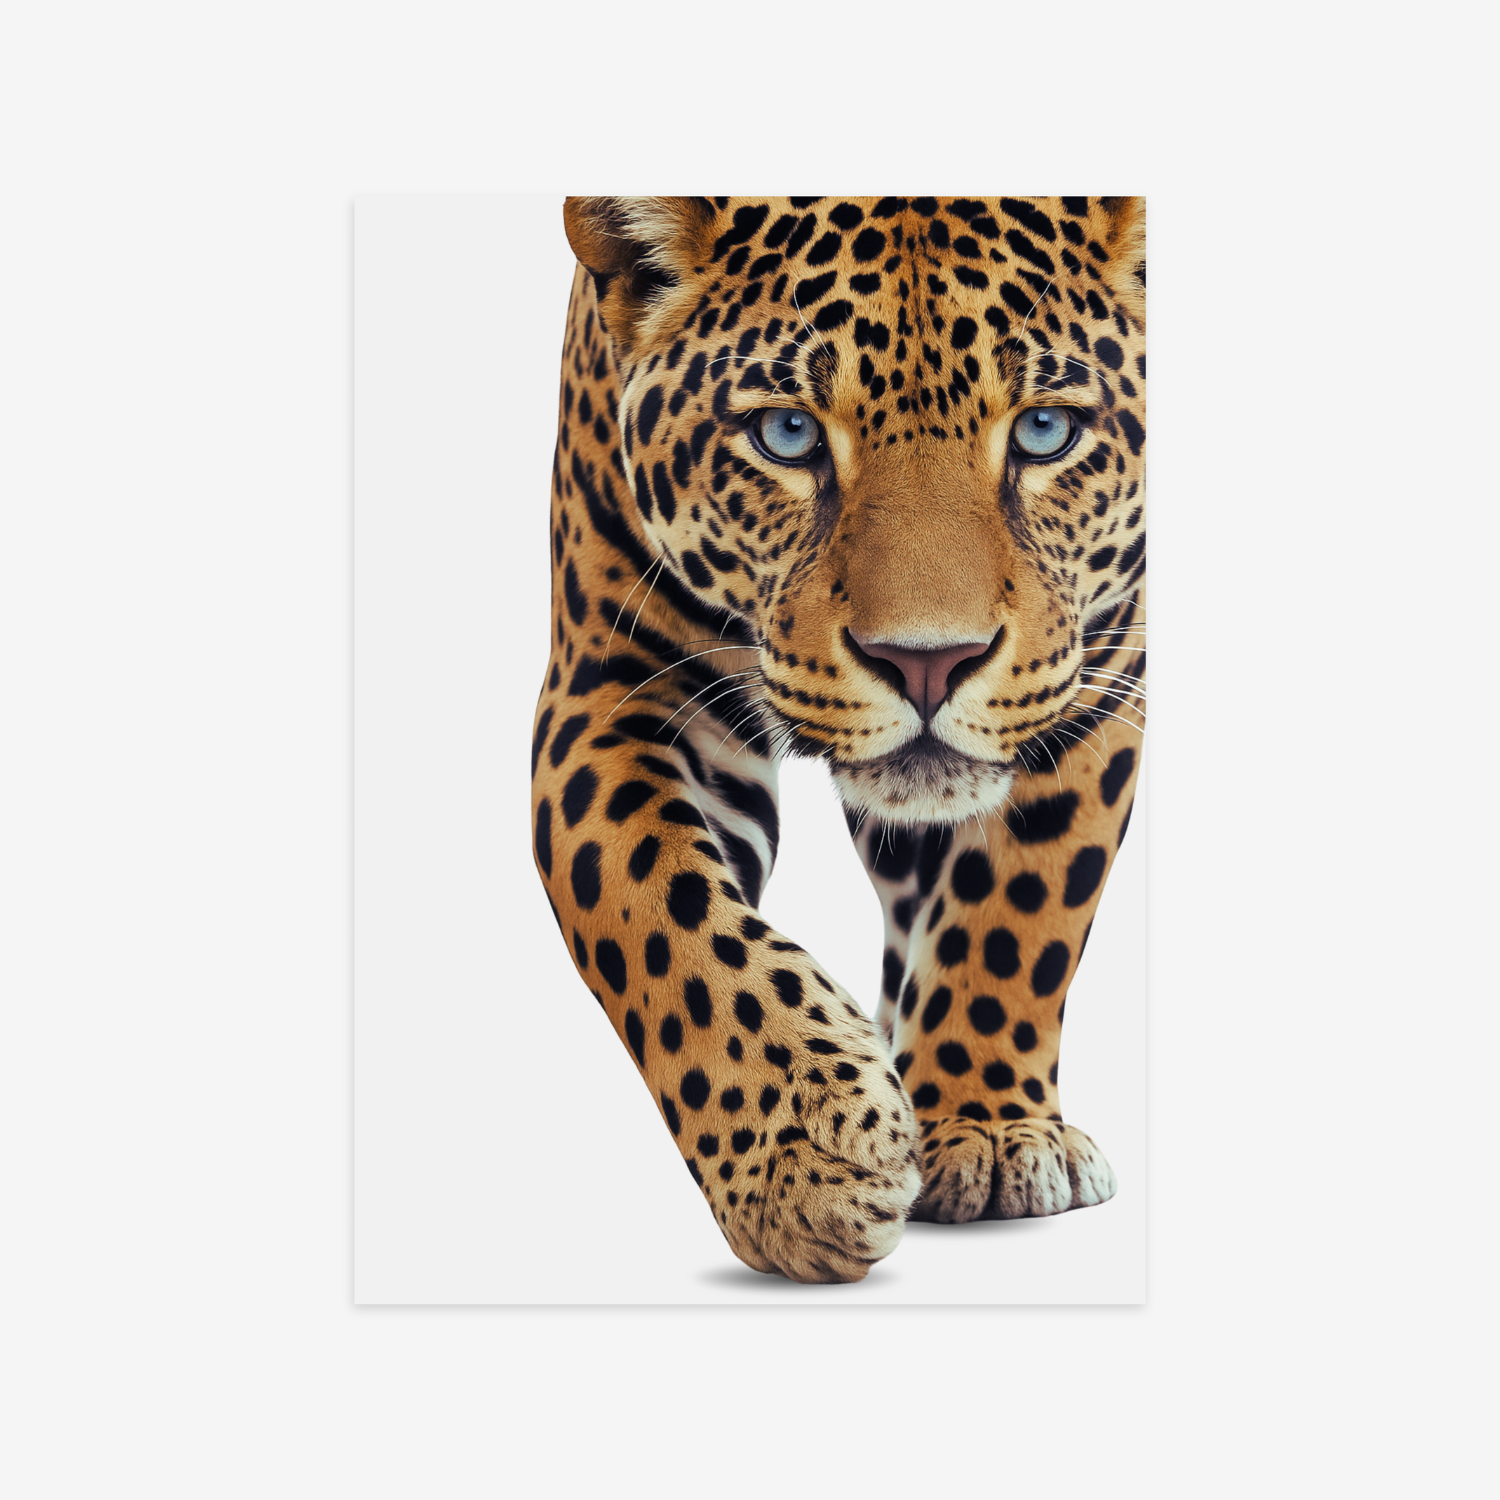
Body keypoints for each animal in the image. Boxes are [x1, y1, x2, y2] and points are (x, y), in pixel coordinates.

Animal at [530, 196, 1145, 1283]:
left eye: (1044, 430)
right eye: (787, 434)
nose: (928, 663)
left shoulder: (1097, 662)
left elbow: (1018, 907)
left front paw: (985, 1128)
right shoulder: (614, 687)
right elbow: (658, 911)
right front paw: (802, 1158)